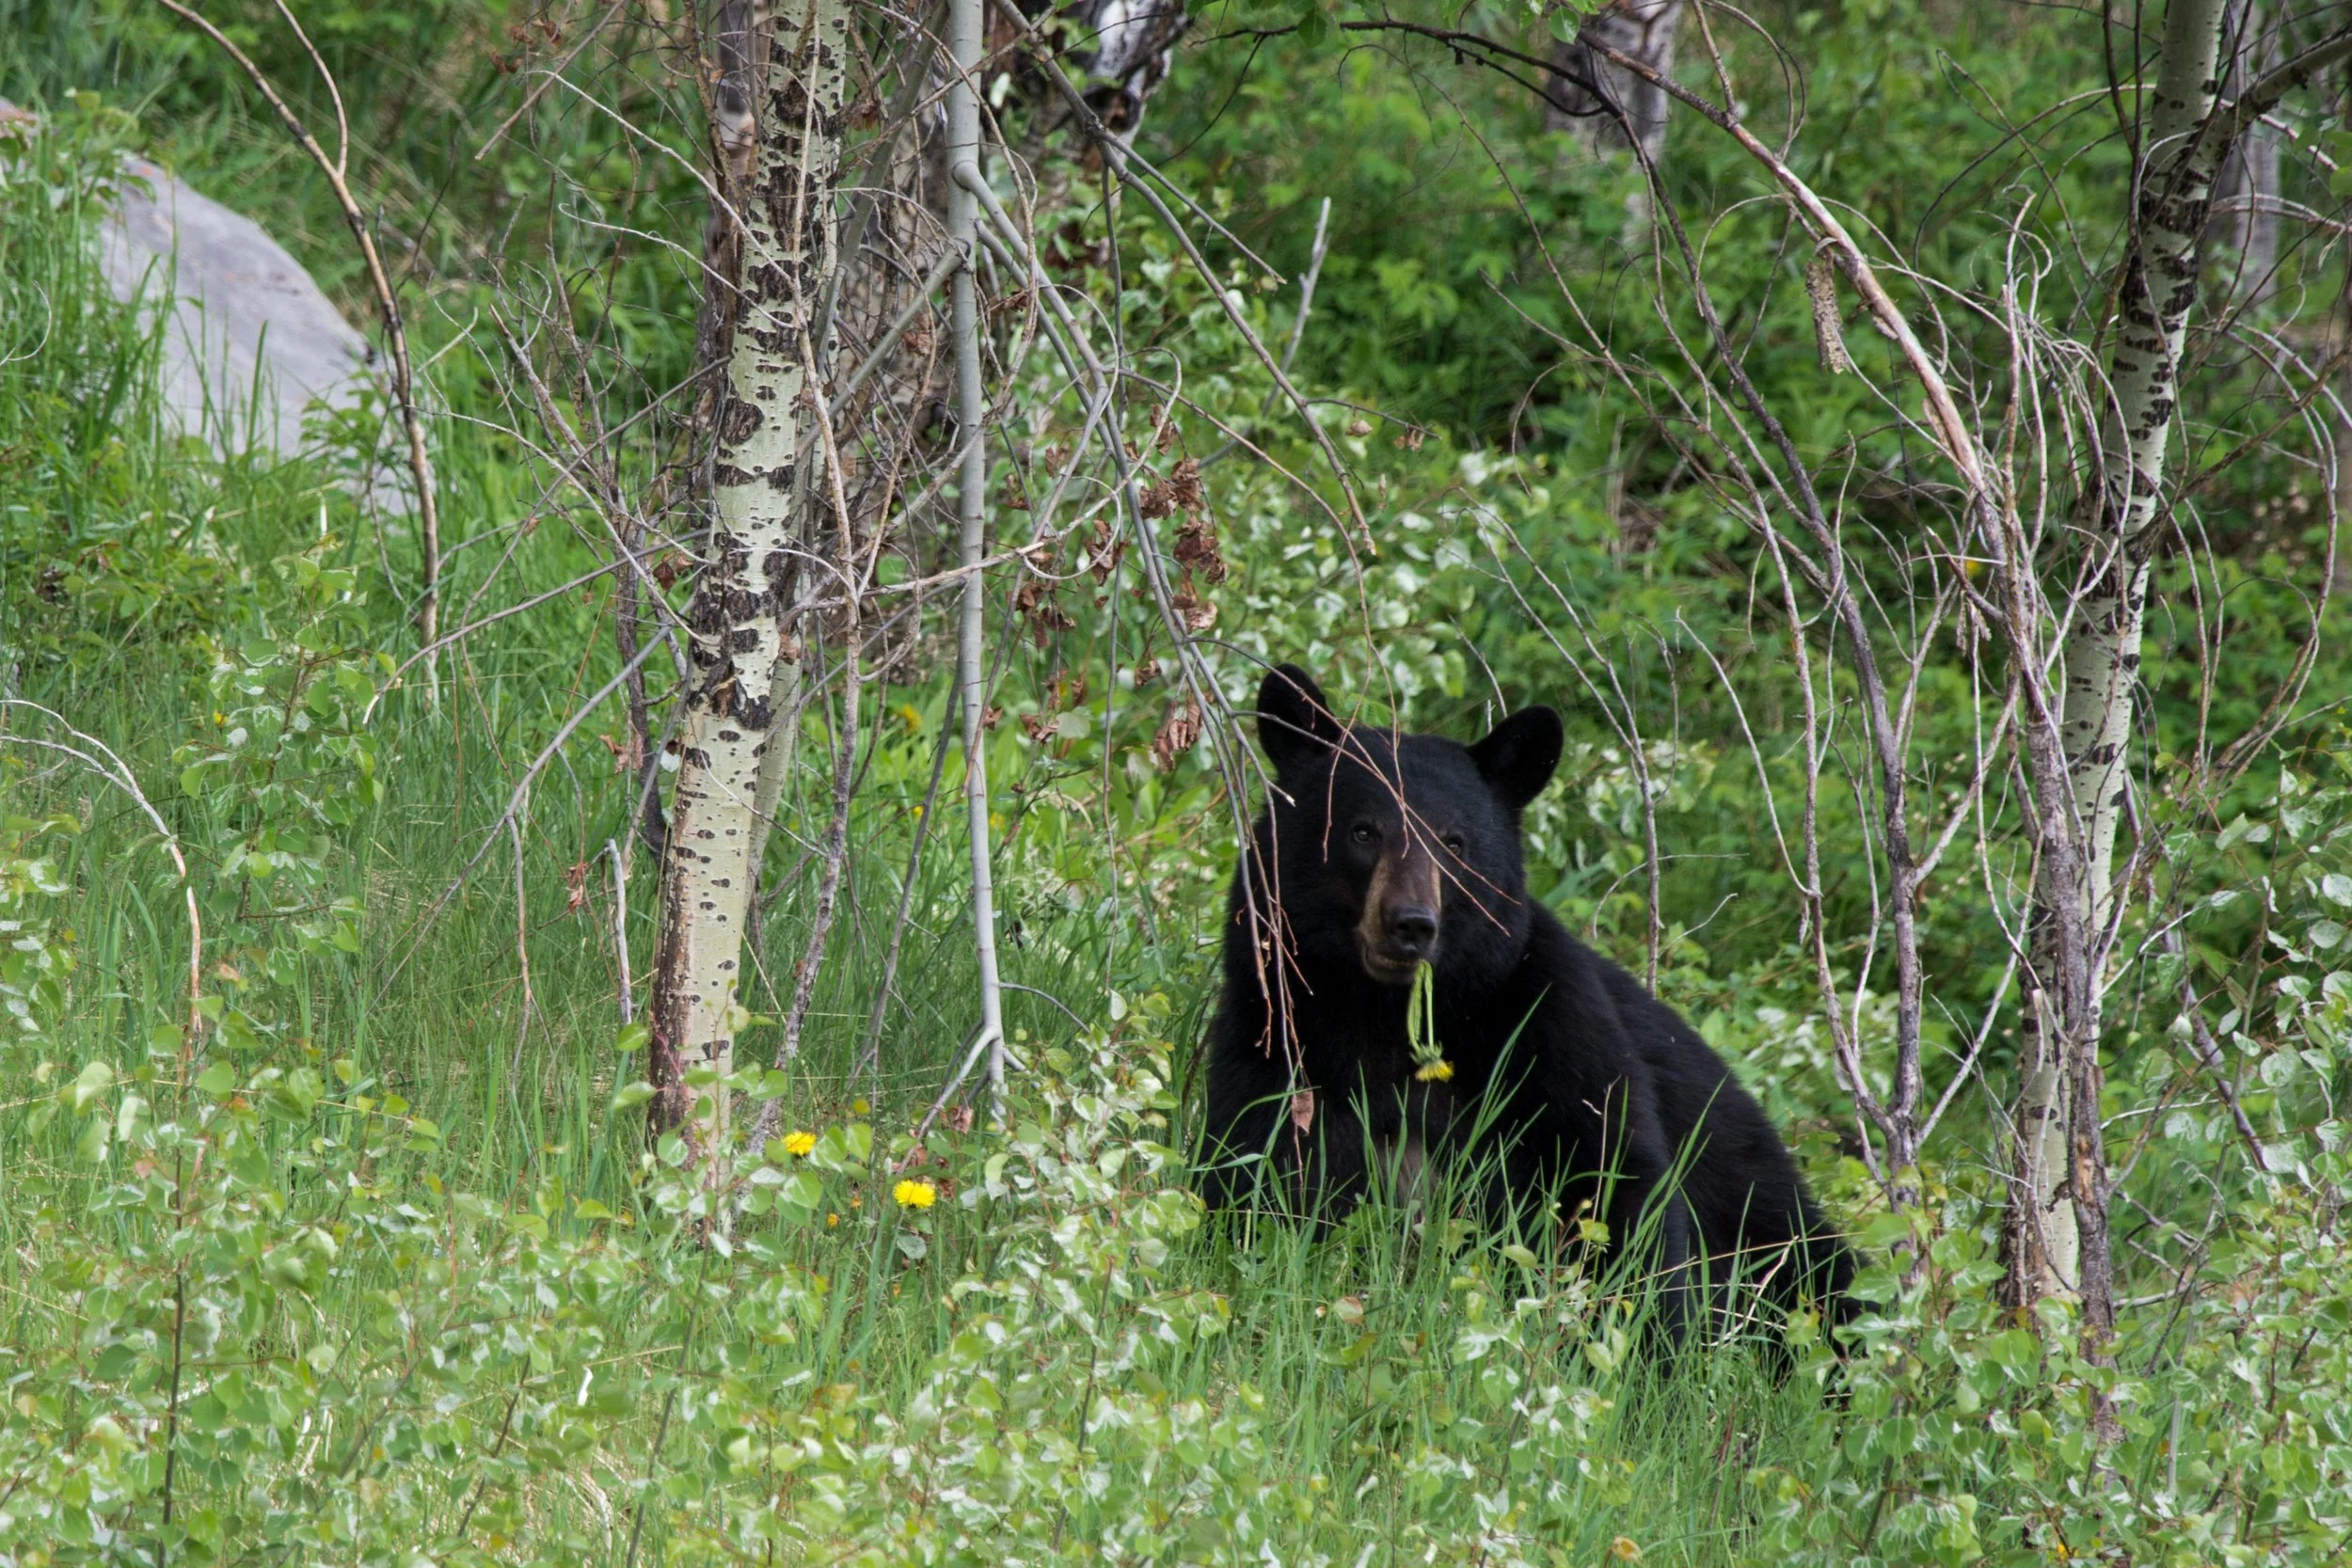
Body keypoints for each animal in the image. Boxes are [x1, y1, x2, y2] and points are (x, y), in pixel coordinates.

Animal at [1199, 664, 1854, 1346]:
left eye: (1455, 842)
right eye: (1361, 830)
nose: (1411, 924)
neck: (1387, 1016)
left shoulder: (1550, 1022)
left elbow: (1611, 1176)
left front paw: (1650, 1347)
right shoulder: (1274, 1032)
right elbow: (1260, 1168)